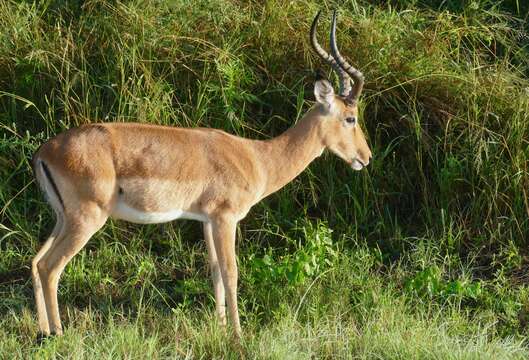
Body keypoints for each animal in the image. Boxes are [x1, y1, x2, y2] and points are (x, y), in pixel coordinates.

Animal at [31, 10, 370, 338]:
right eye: (351, 117)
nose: (366, 158)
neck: (257, 157)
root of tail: (44, 151)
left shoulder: (207, 220)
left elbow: (215, 272)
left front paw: (219, 329)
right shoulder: (225, 218)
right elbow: (231, 273)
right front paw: (238, 335)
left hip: (63, 218)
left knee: (36, 262)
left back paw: (43, 331)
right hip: (87, 219)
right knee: (50, 267)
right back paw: (57, 333)